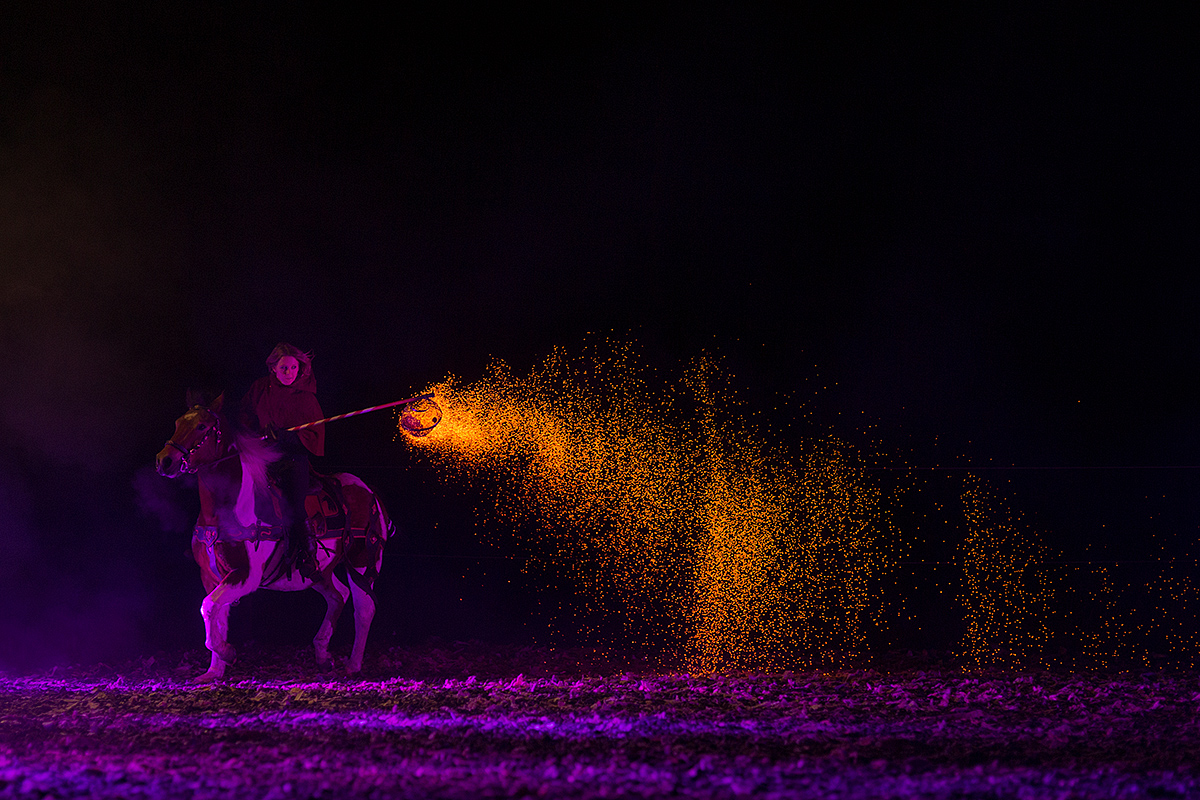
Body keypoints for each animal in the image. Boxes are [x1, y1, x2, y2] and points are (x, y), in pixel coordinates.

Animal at [154, 391, 393, 681]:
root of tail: (369, 492)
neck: (228, 509)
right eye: (178, 422)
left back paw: (353, 664)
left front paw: (227, 653)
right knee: (338, 595)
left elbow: (208, 607)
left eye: (201, 426)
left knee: (364, 608)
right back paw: (323, 655)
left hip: (362, 560)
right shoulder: (211, 576)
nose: (164, 460)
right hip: (318, 571)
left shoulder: (246, 576)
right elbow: (215, 616)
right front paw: (214, 671)